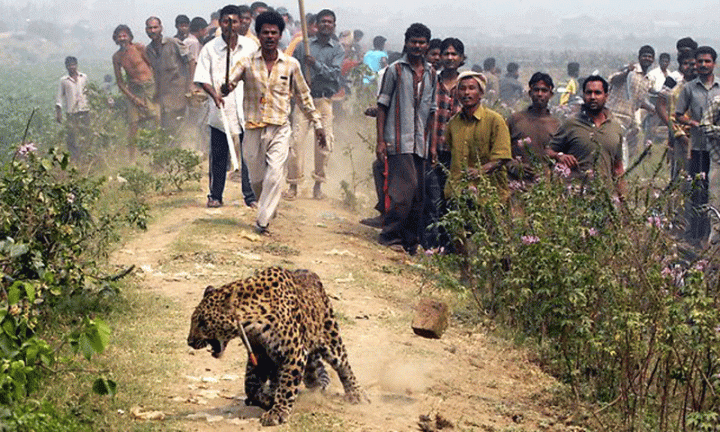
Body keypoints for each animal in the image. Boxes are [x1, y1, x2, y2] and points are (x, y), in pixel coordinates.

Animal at [187, 266, 368, 426]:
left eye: (203, 323)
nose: (190, 341)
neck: (251, 321)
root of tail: (313, 275)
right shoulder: (259, 354)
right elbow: (250, 385)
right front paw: (267, 400)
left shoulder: (294, 352)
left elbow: (287, 384)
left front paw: (277, 412)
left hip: (331, 336)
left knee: (344, 366)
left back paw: (356, 394)